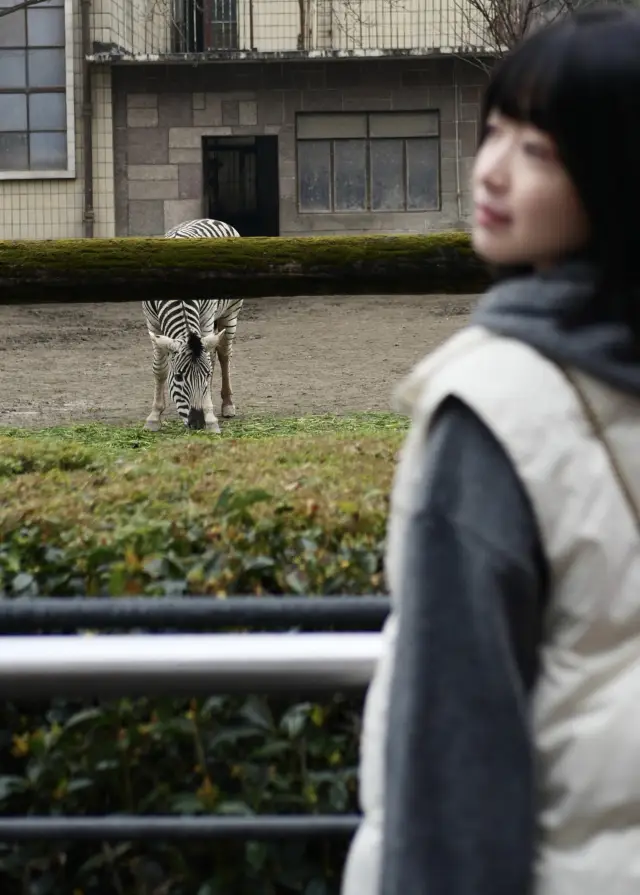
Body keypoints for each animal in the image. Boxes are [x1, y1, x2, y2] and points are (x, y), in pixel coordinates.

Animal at [142, 222, 242, 436]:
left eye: (204, 375)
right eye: (178, 377)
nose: (198, 423)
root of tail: (218, 221)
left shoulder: (205, 319)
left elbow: (211, 365)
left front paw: (211, 417)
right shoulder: (152, 323)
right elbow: (159, 369)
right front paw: (154, 417)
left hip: (231, 313)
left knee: (223, 355)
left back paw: (227, 404)